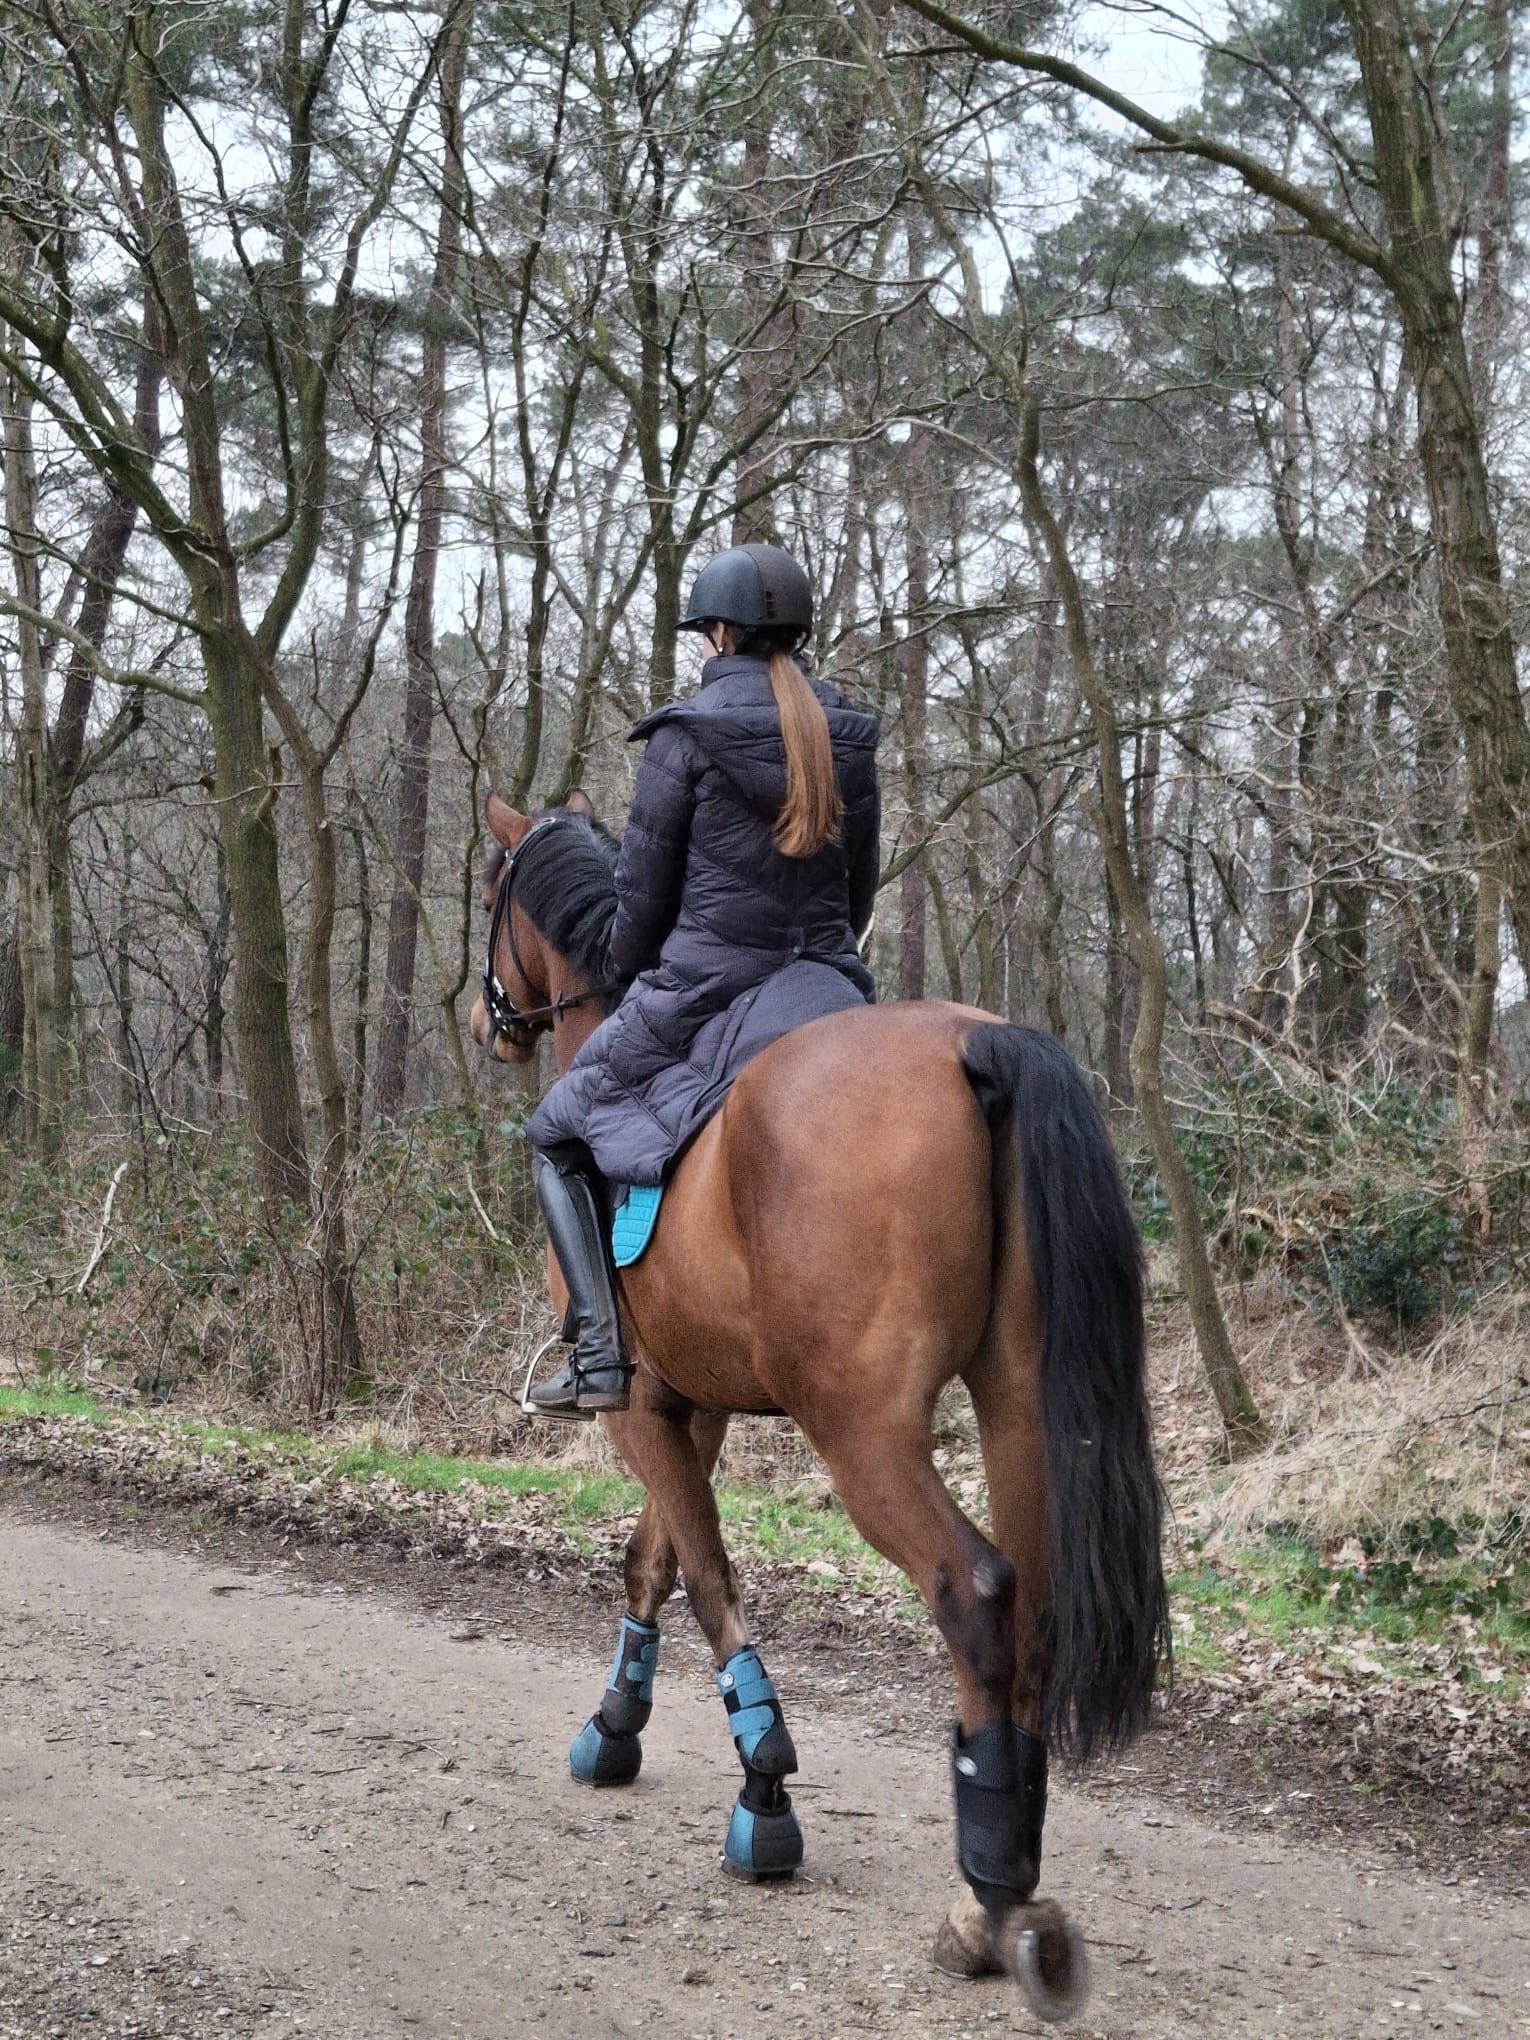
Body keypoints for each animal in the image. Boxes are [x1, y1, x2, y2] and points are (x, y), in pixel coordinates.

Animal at [469, 790, 1168, 2023]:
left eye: (492, 894)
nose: (482, 1018)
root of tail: (973, 1046)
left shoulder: (637, 1407)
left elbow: (706, 1577)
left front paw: (765, 1789)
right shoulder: (691, 1404)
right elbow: (653, 1563)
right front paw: (615, 1729)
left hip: (862, 1430)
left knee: (974, 1593)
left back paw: (988, 1901)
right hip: (1018, 1409)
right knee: (1029, 1609)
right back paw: (1007, 1878)